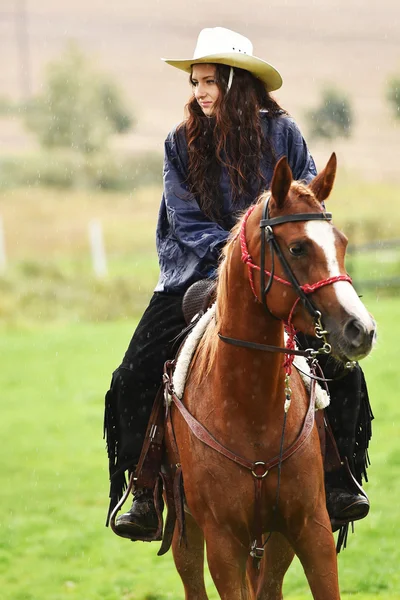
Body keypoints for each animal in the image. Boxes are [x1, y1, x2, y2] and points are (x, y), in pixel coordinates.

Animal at [165, 152, 376, 596]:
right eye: (297, 247)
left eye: (342, 243)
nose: (361, 329)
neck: (251, 408)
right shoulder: (223, 543)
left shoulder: (308, 529)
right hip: (186, 532)